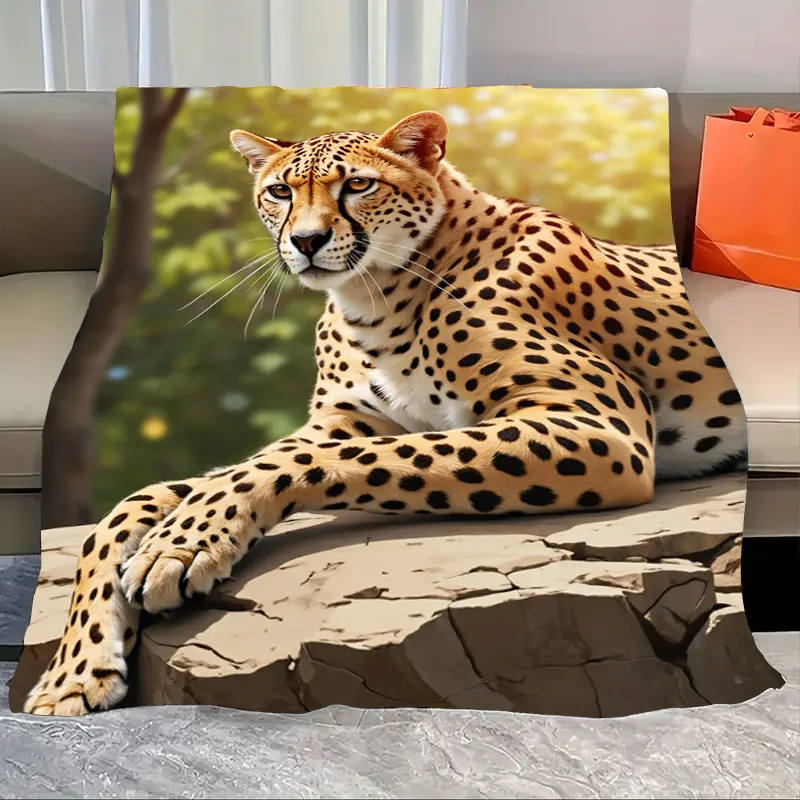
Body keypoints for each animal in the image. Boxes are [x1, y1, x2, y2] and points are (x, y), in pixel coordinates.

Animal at [24, 110, 746, 715]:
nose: (307, 241)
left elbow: (328, 463)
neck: (370, 300)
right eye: (280, 192)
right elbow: (140, 502)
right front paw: (72, 675)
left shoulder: (594, 425)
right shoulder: (340, 422)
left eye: (358, 186)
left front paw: (181, 545)